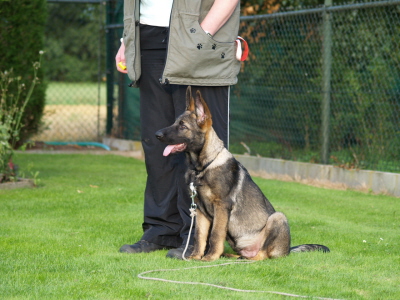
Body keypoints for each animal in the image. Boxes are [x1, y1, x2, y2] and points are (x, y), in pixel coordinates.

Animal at [155, 86, 330, 260]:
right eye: (175, 123)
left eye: (183, 126)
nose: (157, 134)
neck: (202, 167)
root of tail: (288, 250)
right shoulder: (200, 210)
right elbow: (200, 236)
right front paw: (195, 257)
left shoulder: (221, 207)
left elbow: (215, 234)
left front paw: (210, 258)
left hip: (278, 218)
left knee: (262, 255)